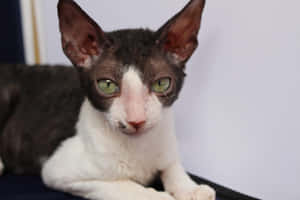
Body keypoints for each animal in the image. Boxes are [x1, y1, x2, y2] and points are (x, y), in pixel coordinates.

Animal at [0, 0, 216, 200]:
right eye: (107, 85)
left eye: (162, 83)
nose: (137, 120)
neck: (139, 147)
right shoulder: (57, 170)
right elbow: (125, 185)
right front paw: (159, 196)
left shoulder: (166, 142)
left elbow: (172, 164)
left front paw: (191, 189)